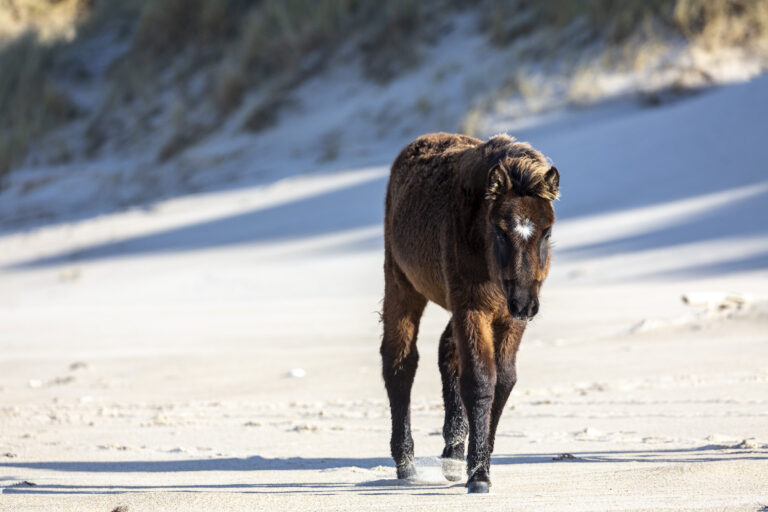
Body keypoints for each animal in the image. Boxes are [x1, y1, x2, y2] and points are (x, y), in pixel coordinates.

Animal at [382, 131, 560, 492]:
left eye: (547, 231)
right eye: (500, 231)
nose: (525, 303)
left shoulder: (508, 319)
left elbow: (503, 381)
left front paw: (477, 463)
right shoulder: (471, 308)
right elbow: (479, 380)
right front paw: (478, 474)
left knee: (447, 352)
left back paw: (452, 455)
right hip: (402, 286)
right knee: (399, 363)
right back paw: (405, 461)